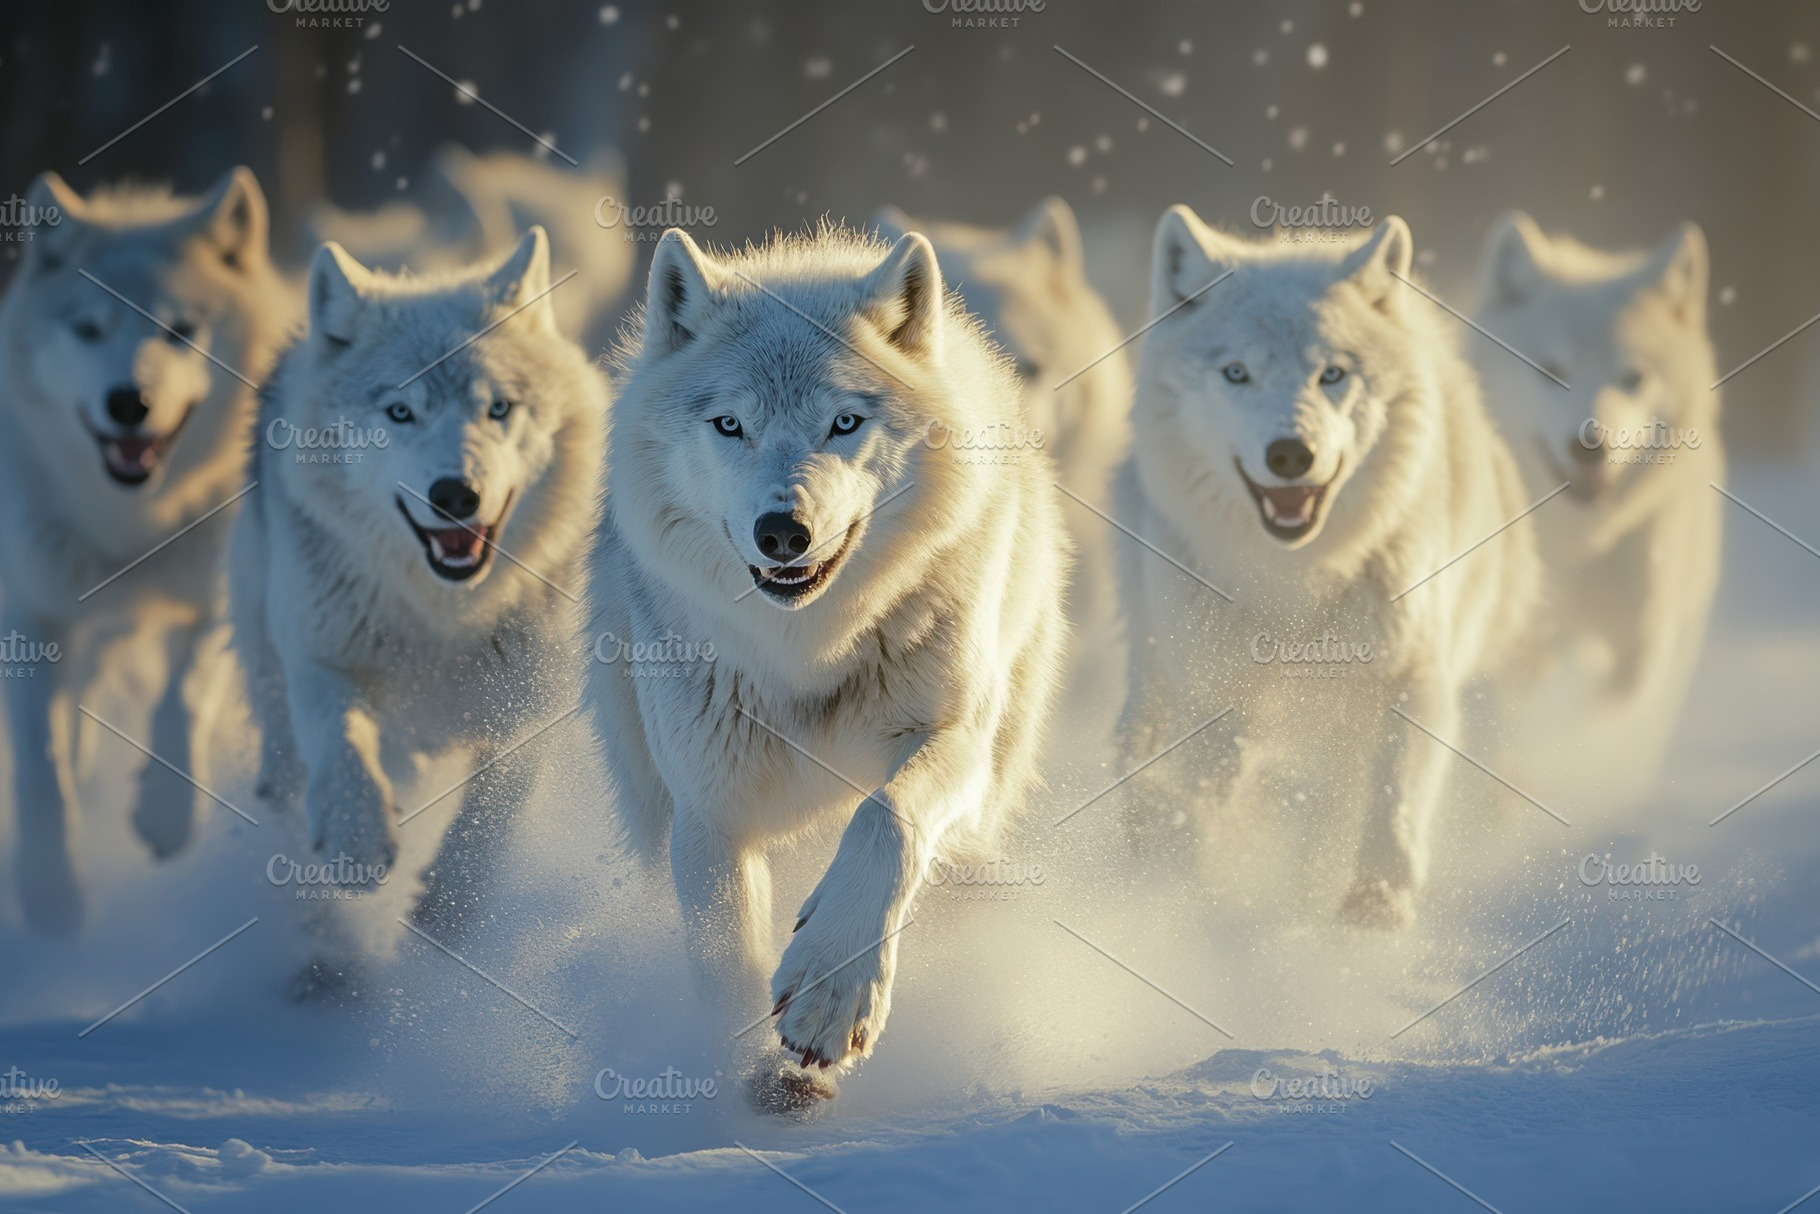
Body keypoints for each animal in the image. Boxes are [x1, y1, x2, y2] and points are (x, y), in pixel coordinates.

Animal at [0, 168, 287, 934]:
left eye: (180, 330)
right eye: (89, 329)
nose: (130, 401)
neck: (132, 527)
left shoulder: (216, 600)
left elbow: (180, 699)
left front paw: (164, 814)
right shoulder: (29, 622)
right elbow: (42, 768)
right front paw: (52, 898)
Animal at [229, 227, 607, 967]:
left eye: (498, 408)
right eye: (399, 412)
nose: (455, 494)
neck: (442, 614)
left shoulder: (529, 704)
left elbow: (492, 811)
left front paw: (446, 913)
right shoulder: (319, 657)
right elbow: (341, 739)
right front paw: (356, 841)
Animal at [590, 224, 1067, 1102]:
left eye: (844, 422)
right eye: (730, 425)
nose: (783, 531)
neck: (809, 649)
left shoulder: (955, 742)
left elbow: (884, 820)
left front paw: (828, 994)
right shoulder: (709, 814)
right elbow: (725, 963)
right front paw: (749, 1080)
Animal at [1116, 205, 1541, 929]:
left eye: (1332, 375)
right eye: (1237, 373)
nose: (1291, 453)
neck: (1298, 581)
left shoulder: (1411, 679)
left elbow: (1392, 802)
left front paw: (1374, 910)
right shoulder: (1218, 697)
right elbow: (1211, 803)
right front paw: (1193, 885)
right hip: (1157, 669)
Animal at [1473, 214, 1721, 791]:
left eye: (1633, 377)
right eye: (1551, 370)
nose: (1591, 444)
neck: (1575, 546)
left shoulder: (1642, 644)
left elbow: (1604, 708)